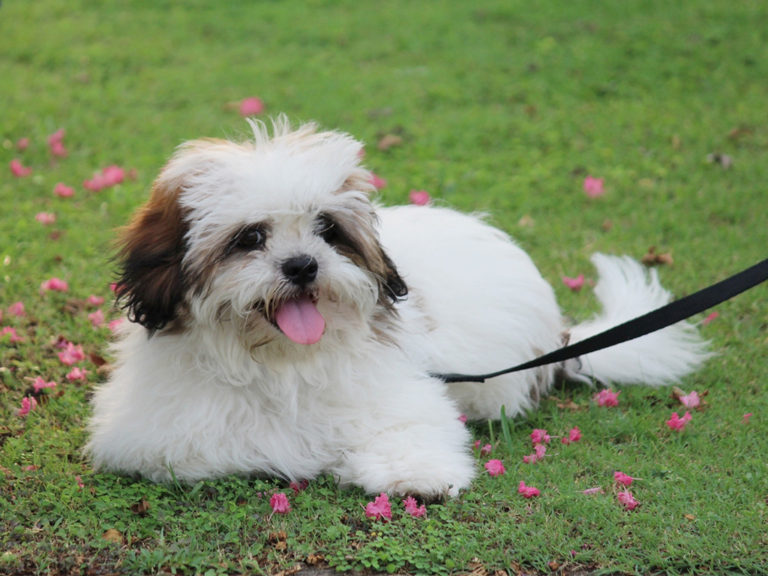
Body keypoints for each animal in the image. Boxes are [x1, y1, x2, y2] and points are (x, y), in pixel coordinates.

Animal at [85, 118, 708, 500]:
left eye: (327, 231)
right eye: (250, 238)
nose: (302, 266)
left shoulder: (406, 395)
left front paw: (415, 476)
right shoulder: (162, 436)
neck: (283, 361)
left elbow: (411, 431)